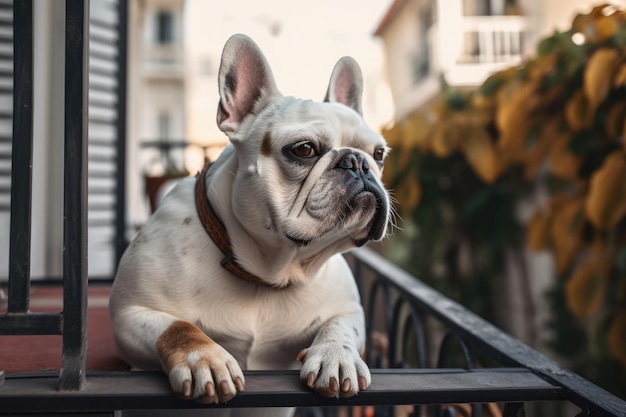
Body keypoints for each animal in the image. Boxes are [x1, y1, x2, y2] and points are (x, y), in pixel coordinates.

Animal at [109, 34, 388, 412]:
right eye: (303, 150)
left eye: (379, 154)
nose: (358, 162)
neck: (267, 271)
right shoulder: (130, 314)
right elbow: (177, 326)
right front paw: (204, 359)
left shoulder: (348, 309)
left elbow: (340, 328)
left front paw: (337, 356)